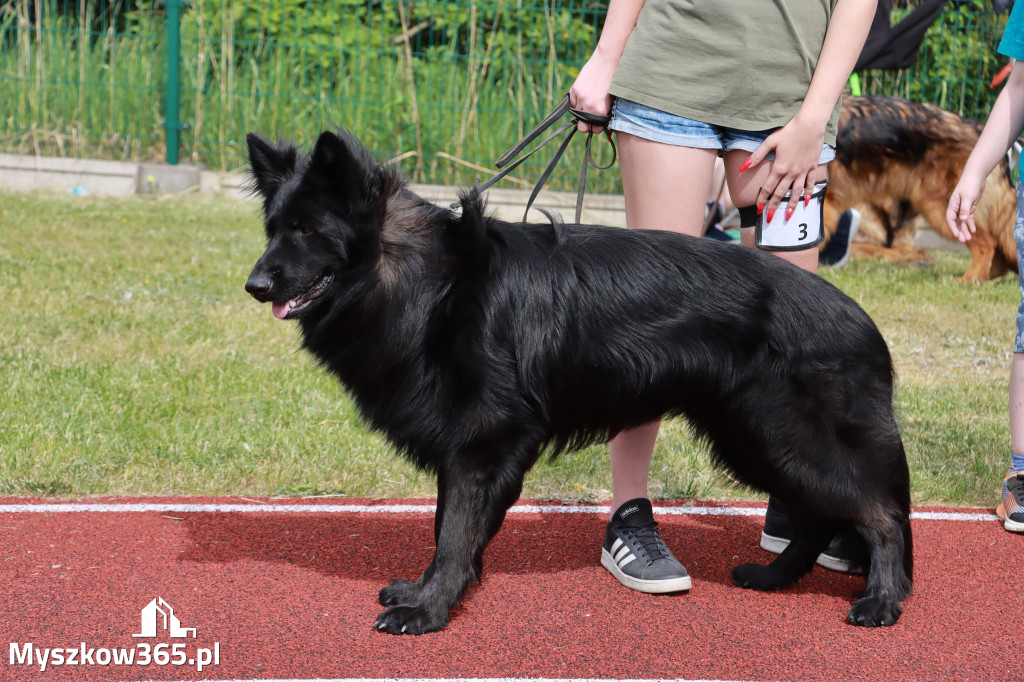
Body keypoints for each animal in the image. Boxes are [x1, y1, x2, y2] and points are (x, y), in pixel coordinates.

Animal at [245, 129, 913, 630]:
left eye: (307, 230)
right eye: (274, 228)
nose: (254, 285)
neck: (427, 281)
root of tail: (863, 320)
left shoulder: (486, 442)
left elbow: (455, 530)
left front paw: (431, 608)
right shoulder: (464, 446)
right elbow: (446, 526)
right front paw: (430, 591)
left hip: (785, 439)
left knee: (880, 512)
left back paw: (883, 598)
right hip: (751, 439)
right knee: (823, 514)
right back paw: (776, 577)